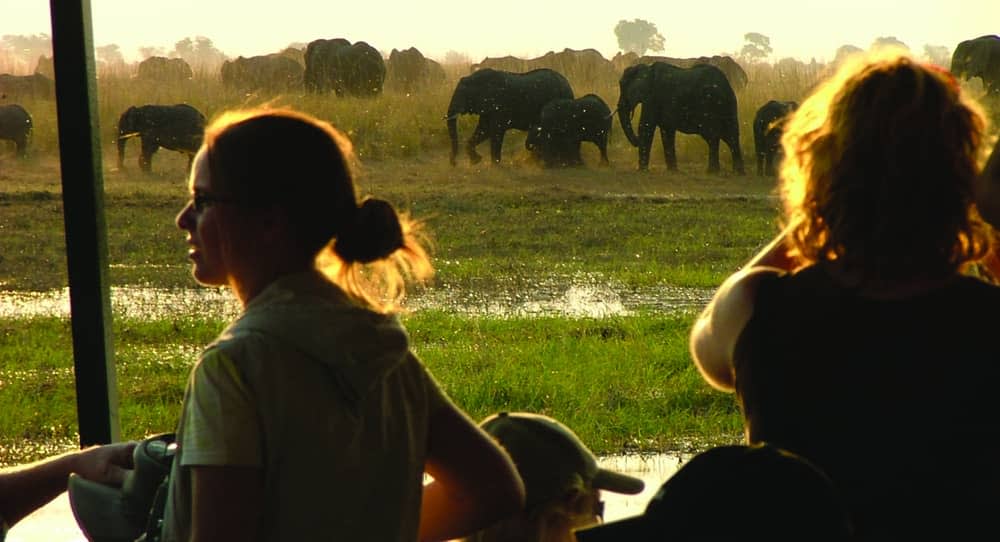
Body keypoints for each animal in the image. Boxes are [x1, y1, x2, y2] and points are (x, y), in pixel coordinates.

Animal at [444, 68, 572, 166]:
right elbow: (484, 130)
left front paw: (495, 166)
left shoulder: (499, 106)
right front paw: (476, 161)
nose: (453, 163)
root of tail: (567, 82)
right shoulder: (487, 109)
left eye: (463, 95)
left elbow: (495, 131)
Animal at [620, 62, 748, 175]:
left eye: (623, 87)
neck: (647, 68)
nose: (636, 141)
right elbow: (667, 131)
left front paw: (642, 171)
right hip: (728, 106)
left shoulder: (652, 97)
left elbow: (646, 126)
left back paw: (712, 172)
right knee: (731, 136)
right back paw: (738, 173)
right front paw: (672, 171)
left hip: (710, 104)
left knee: (713, 136)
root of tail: (727, 85)